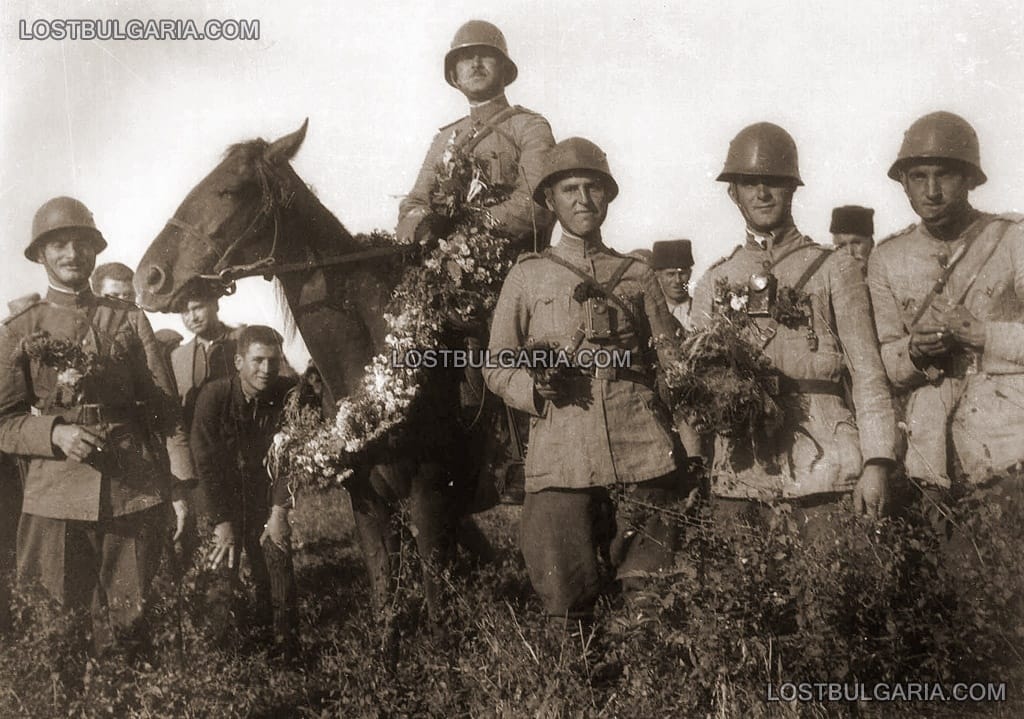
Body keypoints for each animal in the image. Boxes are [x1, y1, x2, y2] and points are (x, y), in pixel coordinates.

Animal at [135, 122, 479, 635]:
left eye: (231, 189)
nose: (148, 278)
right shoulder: (368, 502)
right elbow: (385, 602)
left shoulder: (428, 498)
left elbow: (438, 612)